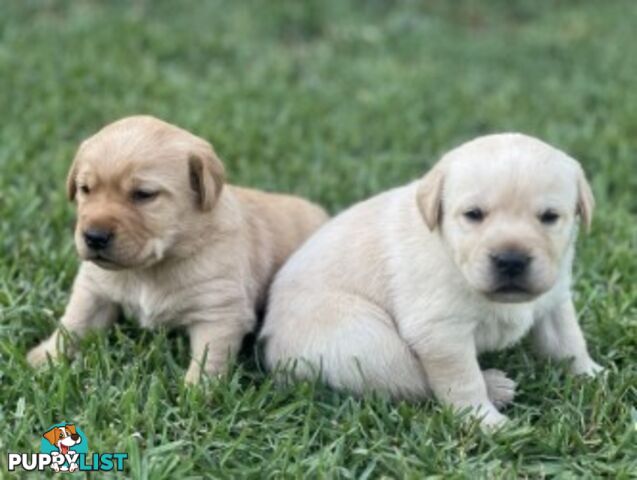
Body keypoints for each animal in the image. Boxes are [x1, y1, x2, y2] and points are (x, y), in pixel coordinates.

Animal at [28, 115, 328, 382]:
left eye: (144, 194)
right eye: (85, 189)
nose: (93, 237)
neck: (150, 268)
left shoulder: (219, 312)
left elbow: (210, 359)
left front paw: (197, 394)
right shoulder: (94, 289)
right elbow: (73, 324)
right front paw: (44, 357)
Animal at [260, 132, 600, 428]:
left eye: (549, 216)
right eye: (474, 214)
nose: (511, 260)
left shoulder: (555, 298)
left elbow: (569, 340)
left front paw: (591, 375)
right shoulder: (441, 332)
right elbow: (462, 381)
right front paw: (485, 421)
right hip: (363, 339)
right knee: (409, 379)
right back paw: (494, 386)